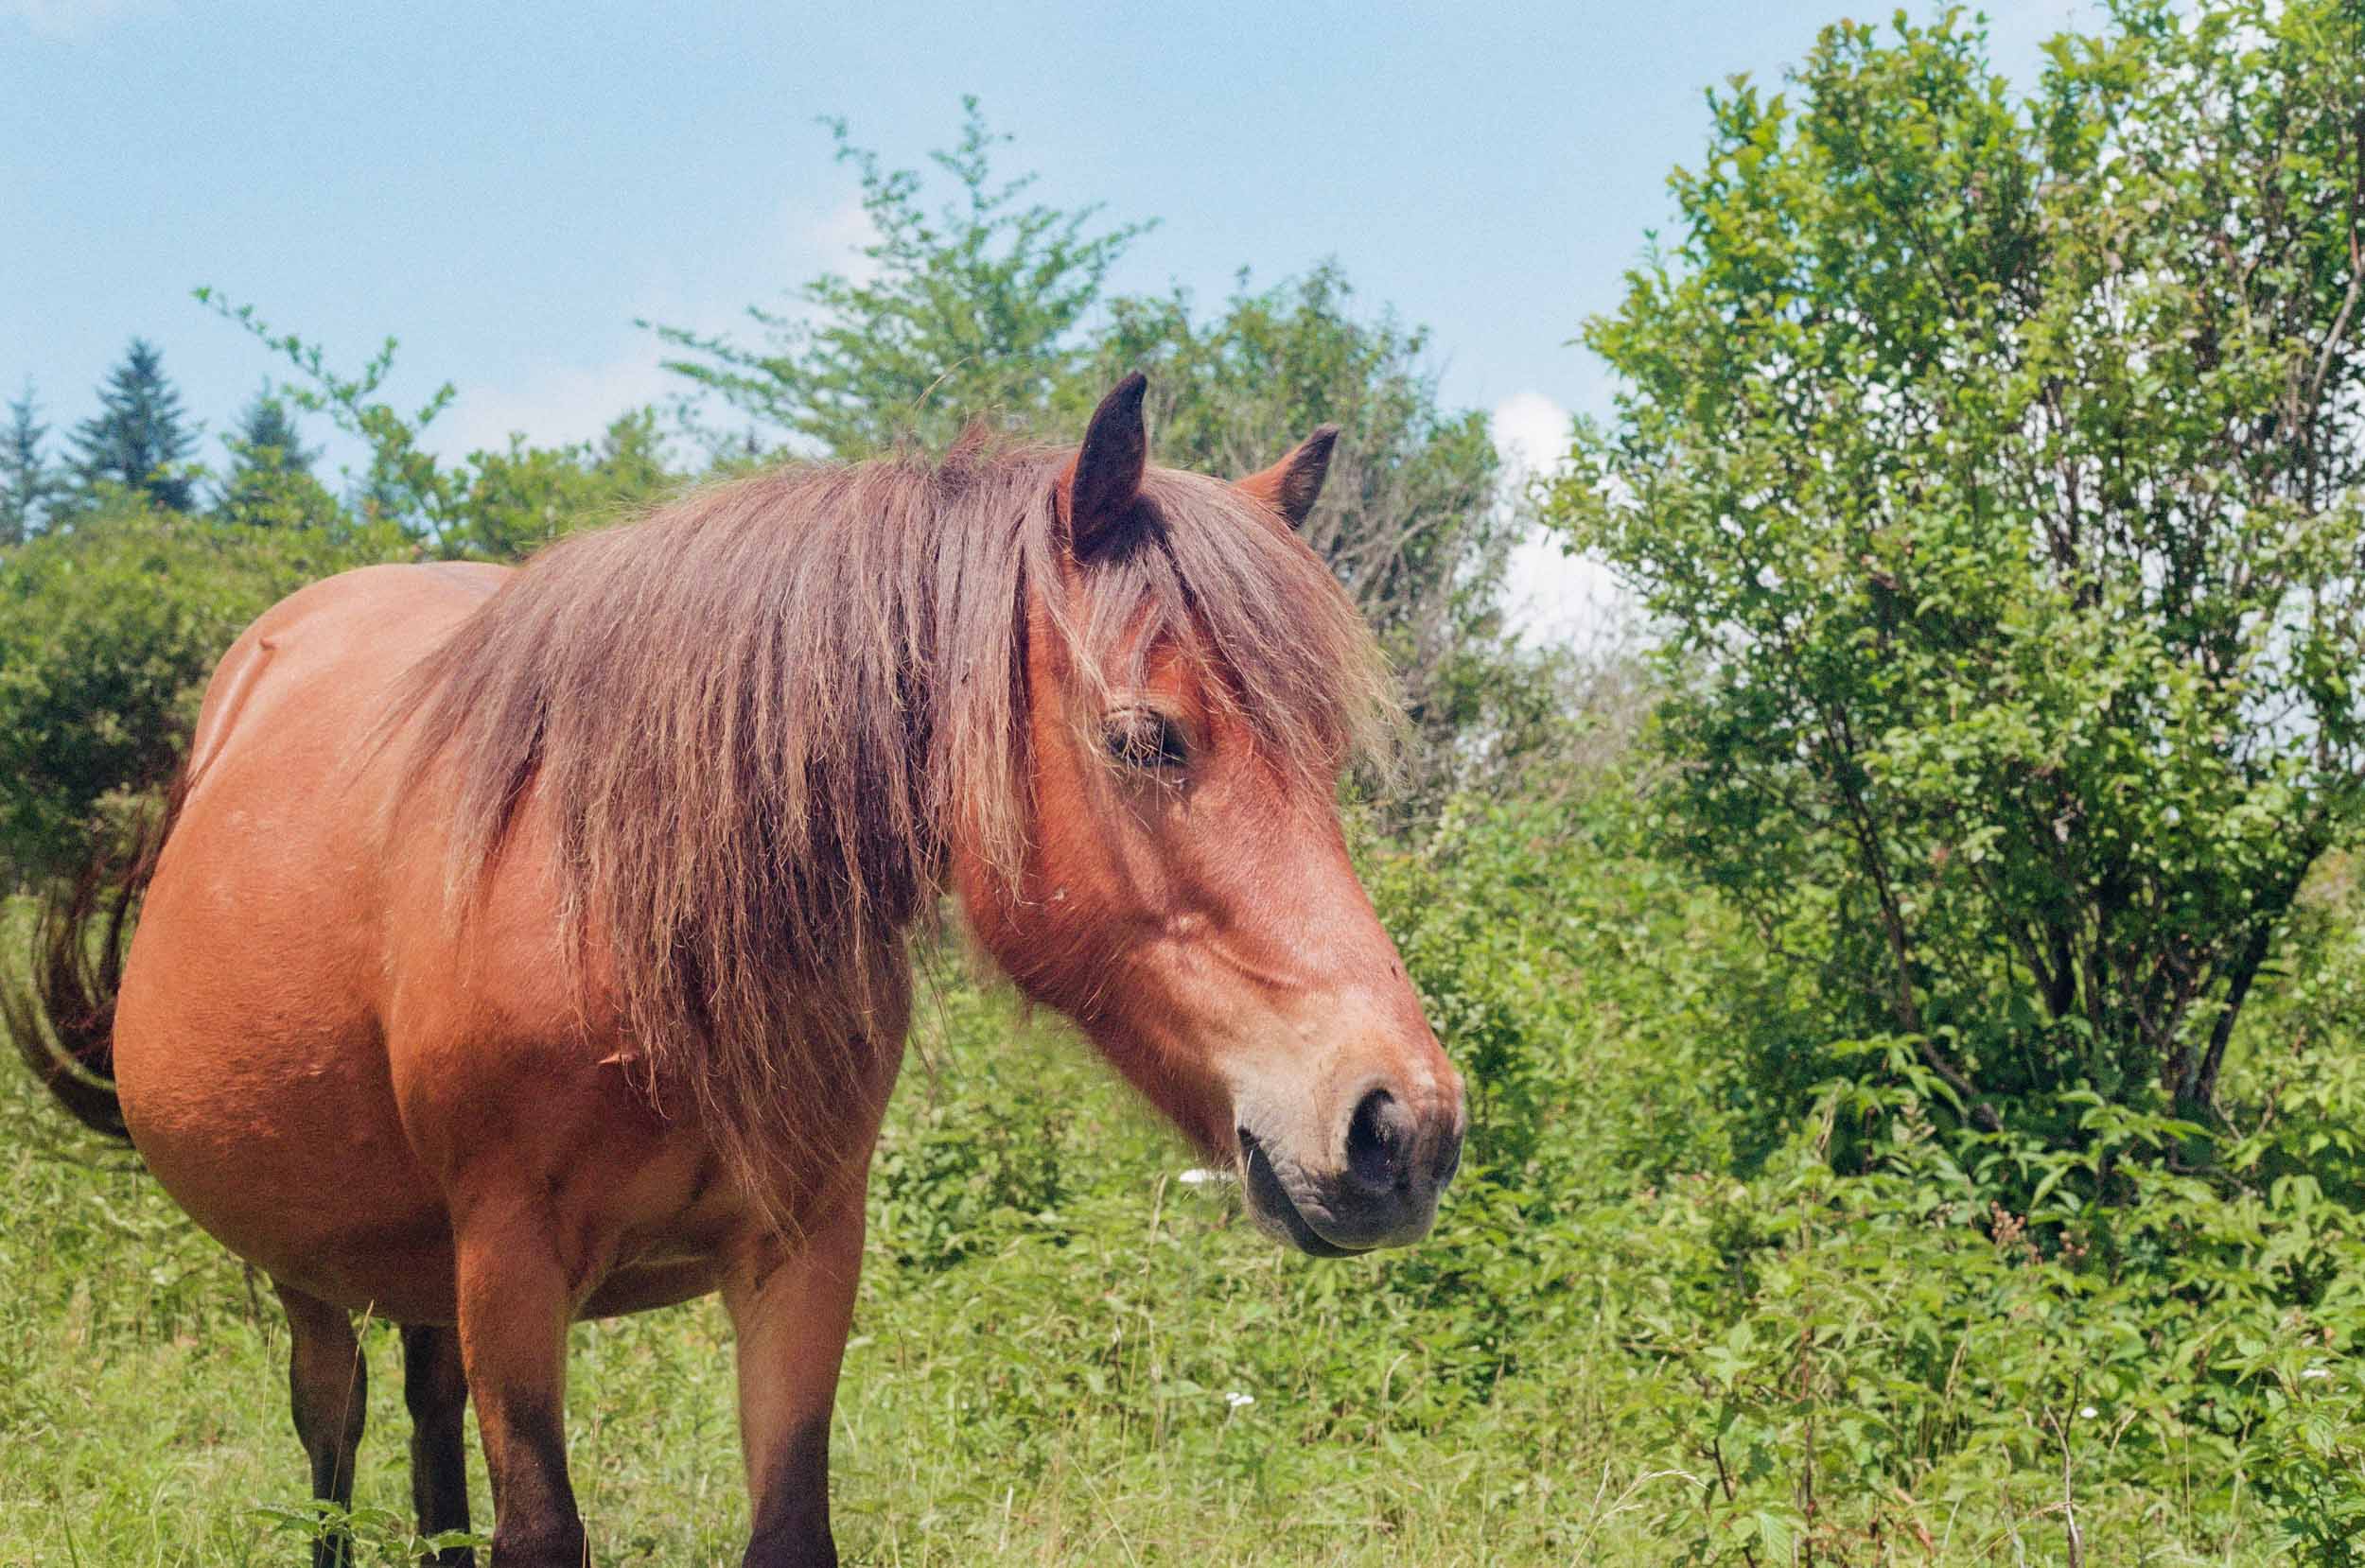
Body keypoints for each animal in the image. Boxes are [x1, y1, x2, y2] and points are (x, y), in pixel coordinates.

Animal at [7, 374, 1466, 1567]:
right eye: (1148, 738)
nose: (1403, 1126)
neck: (633, 918)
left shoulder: (801, 1249)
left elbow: (784, 1524)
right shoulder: (510, 1266)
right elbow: (535, 1529)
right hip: (310, 1271)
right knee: (331, 1439)